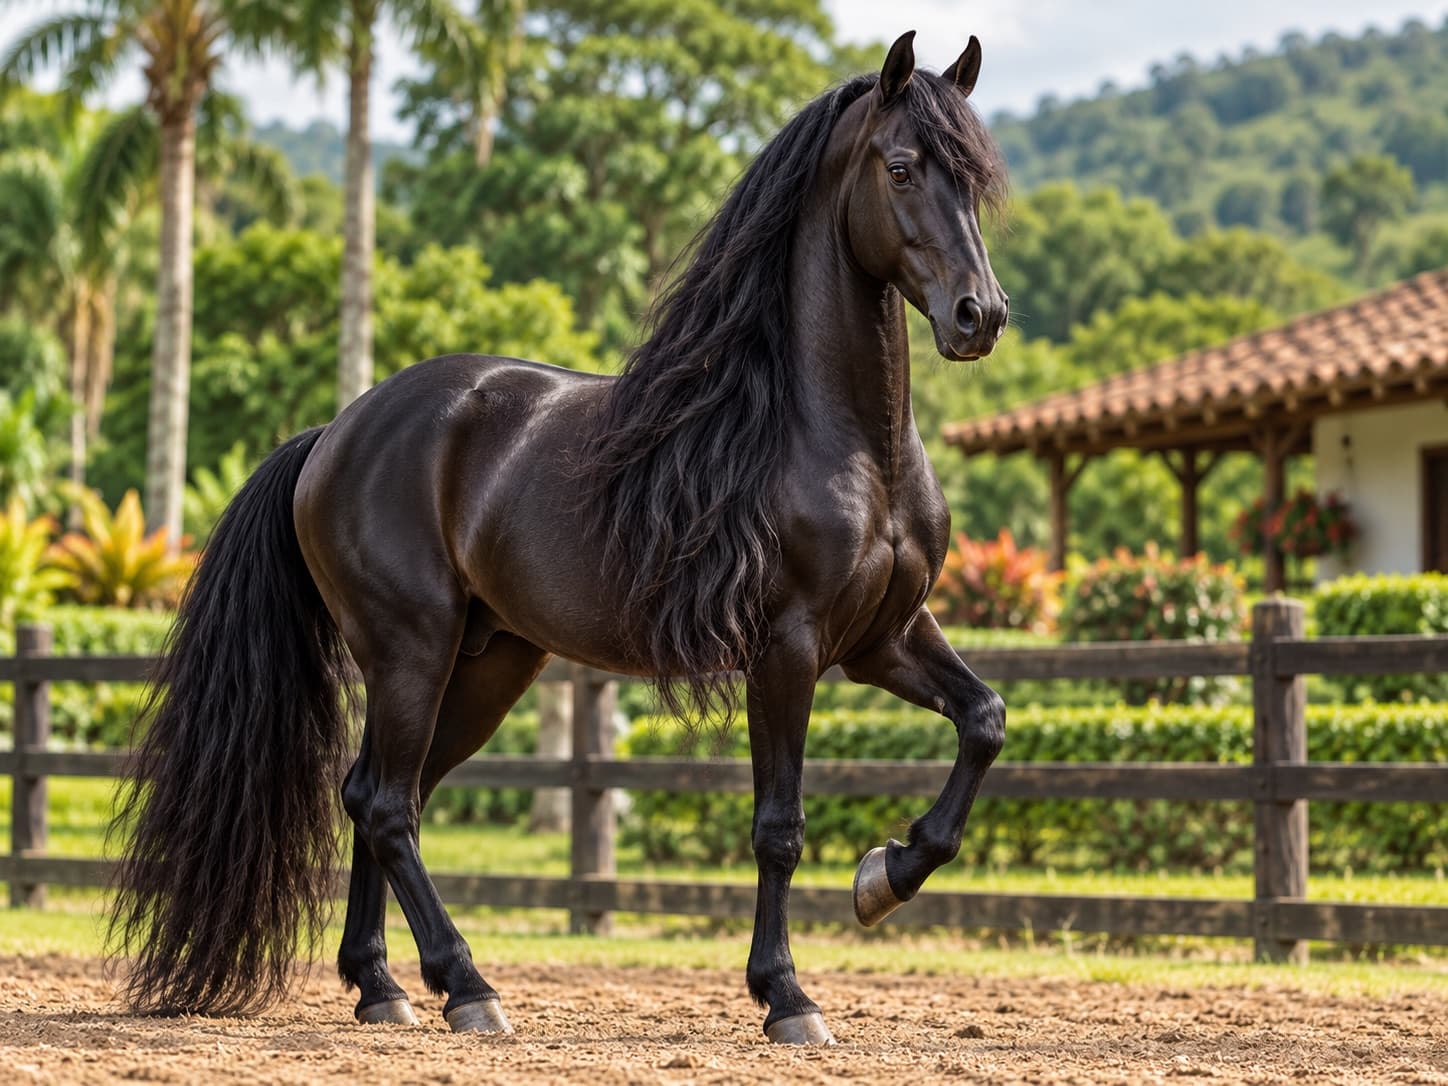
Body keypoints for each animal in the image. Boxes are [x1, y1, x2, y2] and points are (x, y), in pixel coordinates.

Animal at [109, 30, 1011, 1046]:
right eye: (900, 168)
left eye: (974, 179)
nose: (980, 316)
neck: (842, 440)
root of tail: (333, 434)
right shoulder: (788, 649)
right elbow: (778, 826)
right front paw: (787, 996)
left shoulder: (883, 638)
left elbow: (984, 720)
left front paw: (885, 875)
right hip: (411, 650)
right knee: (386, 804)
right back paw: (467, 987)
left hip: (486, 664)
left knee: (376, 792)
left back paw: (380, 987)